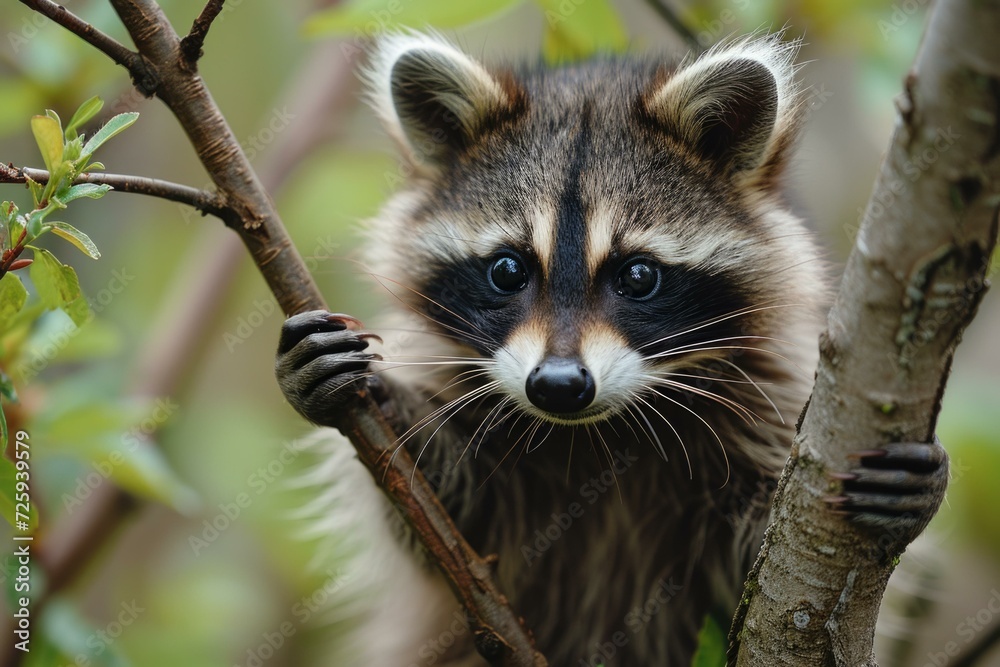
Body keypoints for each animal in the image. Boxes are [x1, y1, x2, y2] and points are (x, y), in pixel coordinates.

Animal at [275, 32, 949, 666]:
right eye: (507, 270)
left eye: (638, 276)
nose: (558, 386)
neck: (597, 432)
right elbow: (441, 519)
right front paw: (388, 405)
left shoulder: (773, 396)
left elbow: (764, 569)